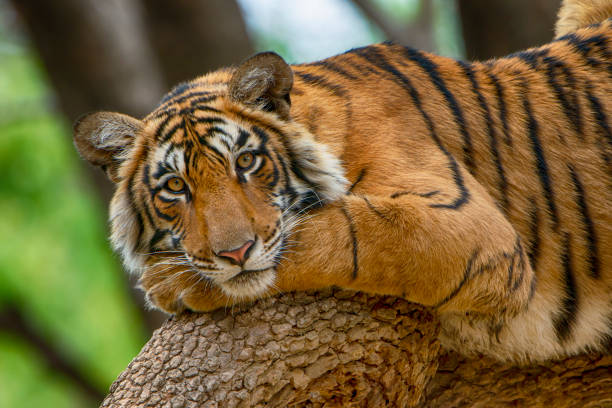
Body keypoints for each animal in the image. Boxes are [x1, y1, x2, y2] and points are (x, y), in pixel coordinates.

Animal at [74, 0, 608, 364]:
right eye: (175, 188)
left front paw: (172, 281)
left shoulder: (472, 226)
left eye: (246, 161)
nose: (235, 253)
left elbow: (340, 232)